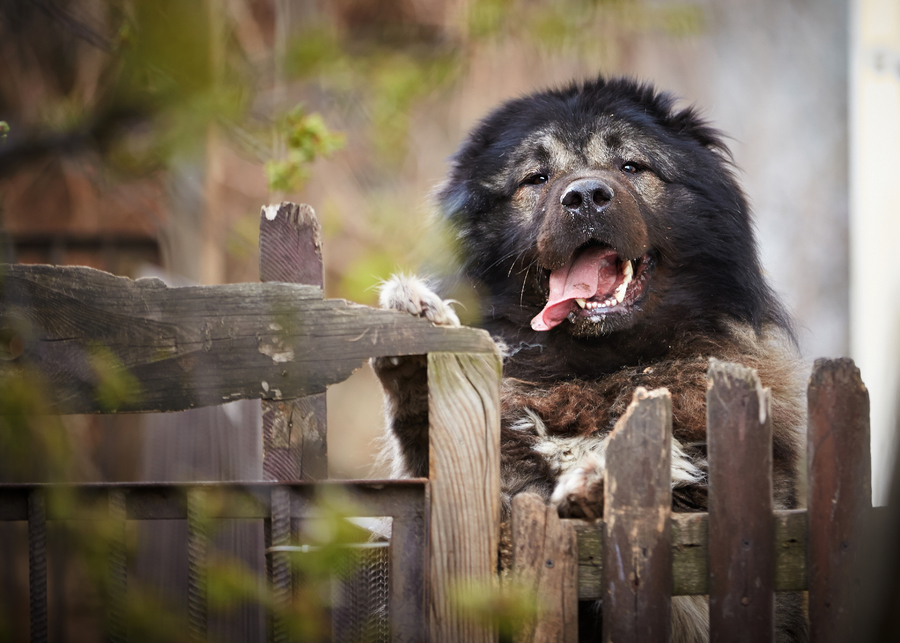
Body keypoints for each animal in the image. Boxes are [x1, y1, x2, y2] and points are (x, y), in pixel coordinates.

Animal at [372, 76, 808, 643]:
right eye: (537, 178)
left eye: (630, 166)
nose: (584, 196)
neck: (595, 373)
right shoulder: (488, 520)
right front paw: (417, 343)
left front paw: (609, 480)